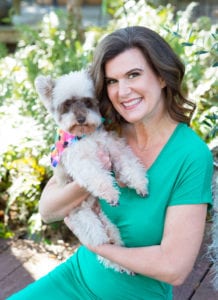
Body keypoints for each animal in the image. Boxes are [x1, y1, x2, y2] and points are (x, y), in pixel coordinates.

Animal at [35, 68, 148, 274]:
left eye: (88, 101)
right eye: (67, 104)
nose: (80, 118)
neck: (85, 136)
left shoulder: (114, 148)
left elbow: (129, 163)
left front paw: (139, 182)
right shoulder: (82, 162)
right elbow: (97, 177)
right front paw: (110, 193)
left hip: (108, 224)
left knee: (115, 242)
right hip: (87, 224)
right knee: (103, 249)